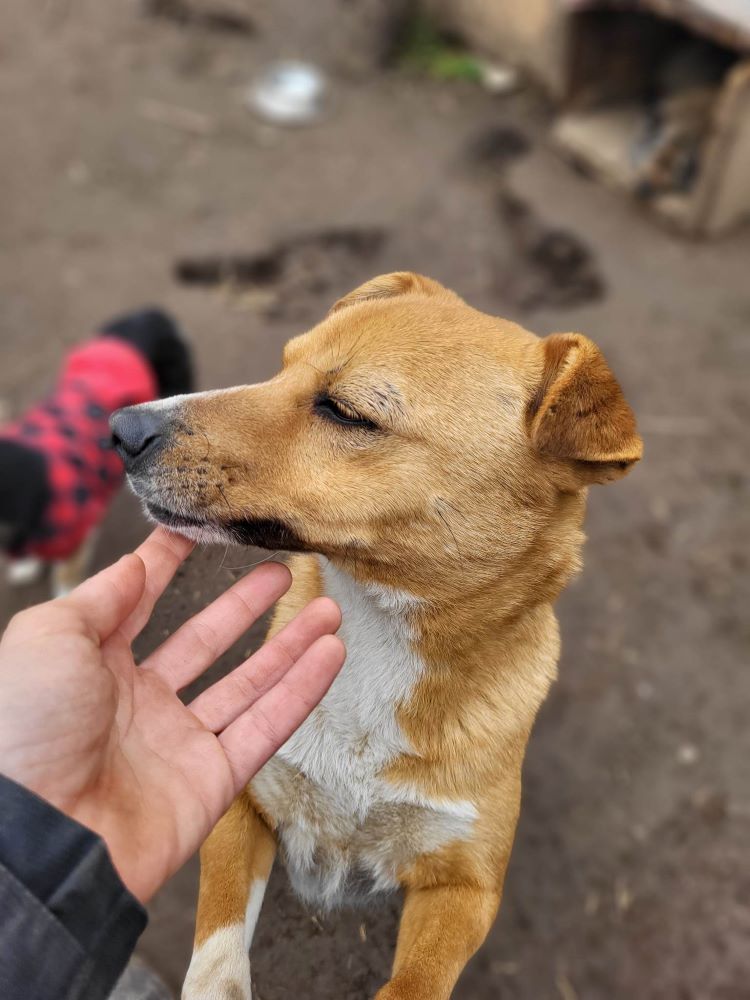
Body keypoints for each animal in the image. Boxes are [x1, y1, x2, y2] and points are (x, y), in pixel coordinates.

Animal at [114, 270, 644, 996]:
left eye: (346, 411)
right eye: (281, 366)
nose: (120, 428)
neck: (378, 633)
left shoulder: (467, 889)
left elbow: (415, 982)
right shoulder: (240, 800)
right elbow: (218, 954)